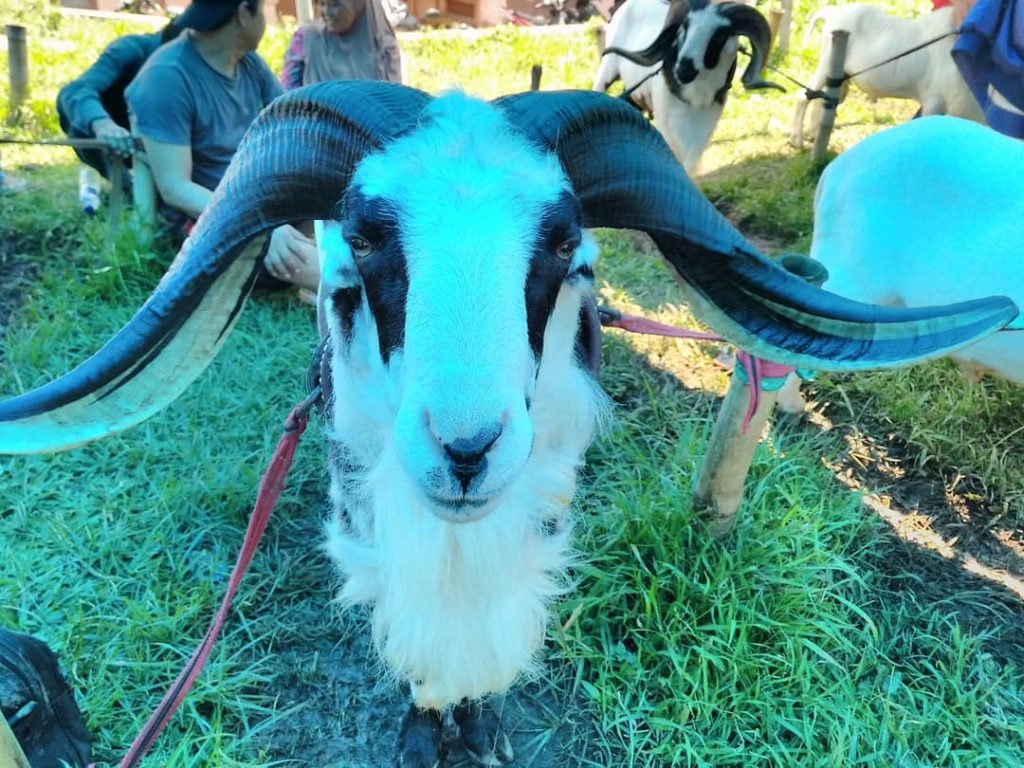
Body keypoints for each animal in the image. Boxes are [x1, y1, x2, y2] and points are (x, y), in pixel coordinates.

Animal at [2, 83, 1015, 768]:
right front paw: (424, 732)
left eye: (566, 244)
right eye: (363, 237)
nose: (465, 452)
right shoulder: (371, 515)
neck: (459, 541)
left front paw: (479, 728)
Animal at [598, 0, 778, 174]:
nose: (684, 69)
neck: (696, 98)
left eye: (719, 36)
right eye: (683, 28)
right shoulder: (666, 128)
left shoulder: (702, 134)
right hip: (607, 70)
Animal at [790, 4, 983, 148]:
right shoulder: (934, 99)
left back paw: (813, 133)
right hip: (827, 61)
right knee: (803, 97)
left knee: (822, 97)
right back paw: (797, 140)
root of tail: (833, 12)